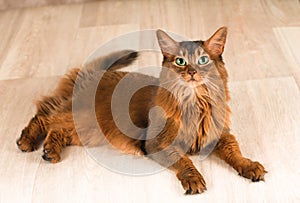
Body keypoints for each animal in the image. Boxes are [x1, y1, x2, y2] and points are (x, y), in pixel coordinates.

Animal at [16, 27, 266, 195]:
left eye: (203, 60)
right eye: (180, 61)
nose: (192, 72)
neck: (195, 103)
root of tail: (93, 74)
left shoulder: (220, 136)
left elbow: (235, 153)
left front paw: (249, 166)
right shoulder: (158, 143)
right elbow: (184, 160)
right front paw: (193, 179)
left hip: (85, 131)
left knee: (57, 128)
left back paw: (50, 151)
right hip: (83, 118)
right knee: (44, 117)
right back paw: (26, 142)